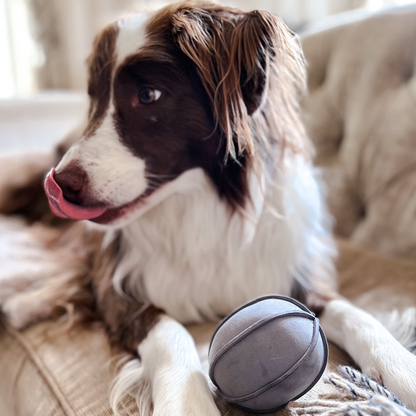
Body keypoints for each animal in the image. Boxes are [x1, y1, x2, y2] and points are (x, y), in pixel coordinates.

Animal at [0, 1, 416, 414]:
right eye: (93, 97)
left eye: (148, 95)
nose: (60, 183)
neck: (203, 206)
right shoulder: (116, 287)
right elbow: (171, 330)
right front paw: (188, 403)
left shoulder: (297, 273)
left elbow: (356, 314)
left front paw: (403, 370)